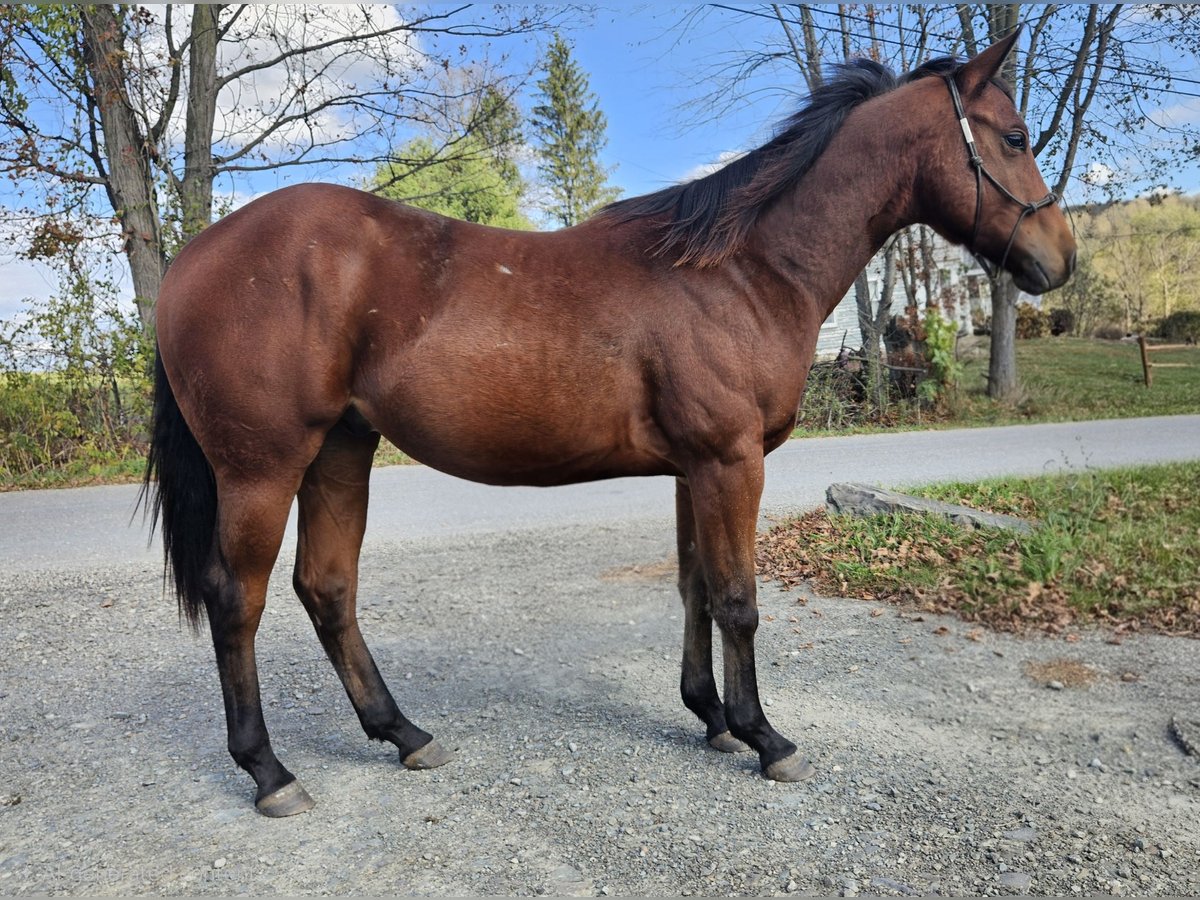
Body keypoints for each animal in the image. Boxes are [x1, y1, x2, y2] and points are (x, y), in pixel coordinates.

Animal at [144, 32, 1075, 817]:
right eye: (1016, 136)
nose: (1061, 260)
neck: (741, 273)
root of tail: (193, 259)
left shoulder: (696, 468)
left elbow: (696, 587)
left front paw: (712, 717)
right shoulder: (731, 462)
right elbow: (739, 600)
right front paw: (765, 738)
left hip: (341, 449)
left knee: (327, 590)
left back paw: (403, 733)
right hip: (263, 468)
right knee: (239, 601)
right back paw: (270, 773)